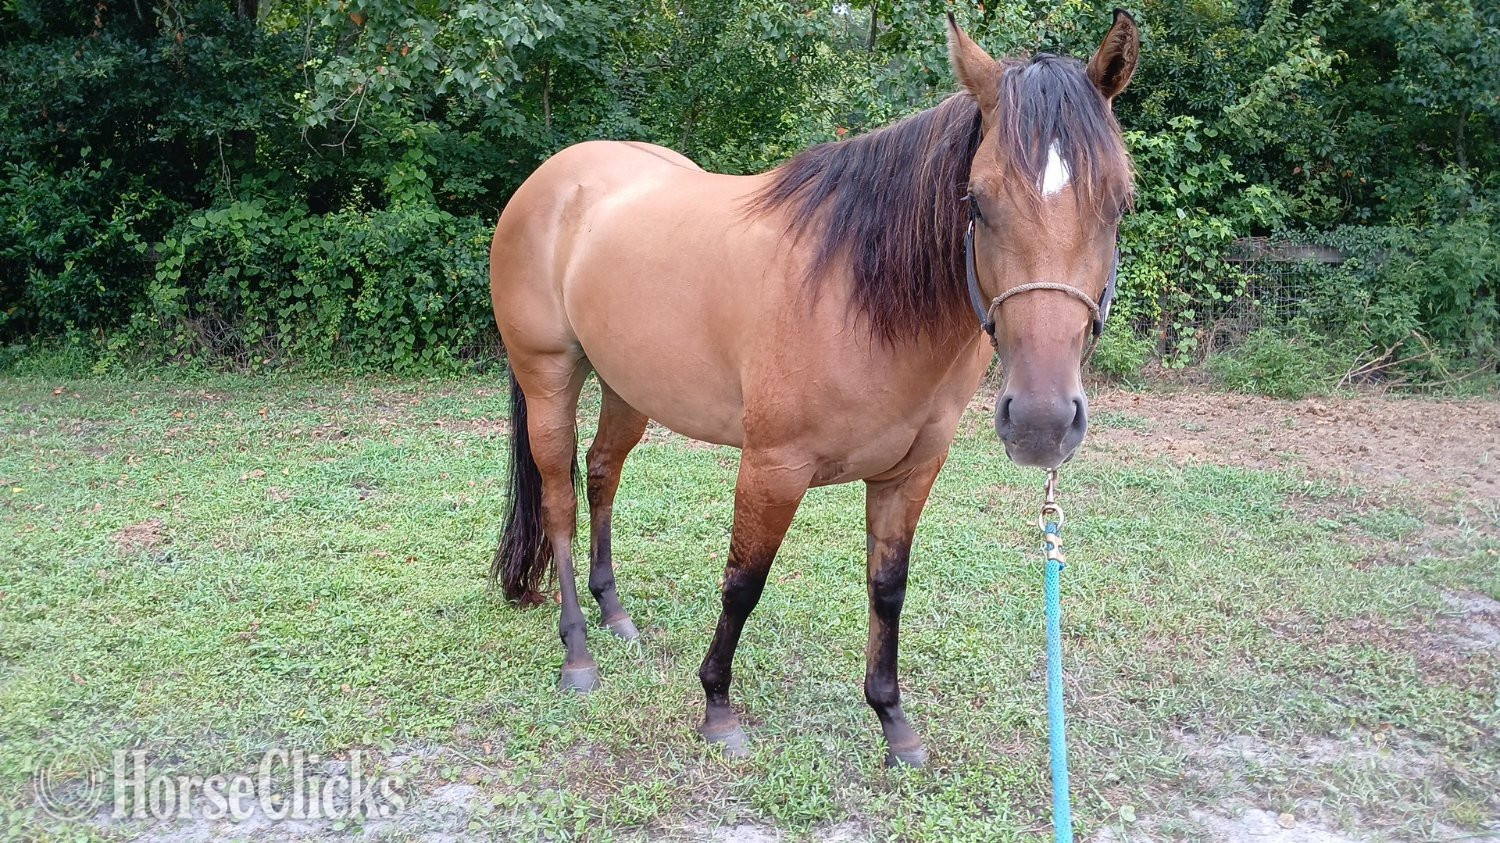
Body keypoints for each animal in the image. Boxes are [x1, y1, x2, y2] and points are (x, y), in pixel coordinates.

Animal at [487, 11, 1139, 766]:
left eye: (1120, 203)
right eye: (976, 201)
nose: (1041, 421)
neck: (856, 291)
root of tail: (551, 178)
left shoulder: (910, 472)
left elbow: (887, 588)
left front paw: (893, 721)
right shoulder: (773, 466)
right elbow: (743, 583)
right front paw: (717, 708)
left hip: (628, 387)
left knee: (600, 473)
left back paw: (614, 611)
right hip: (549, 377)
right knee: (559, 501)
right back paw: (578, 654)